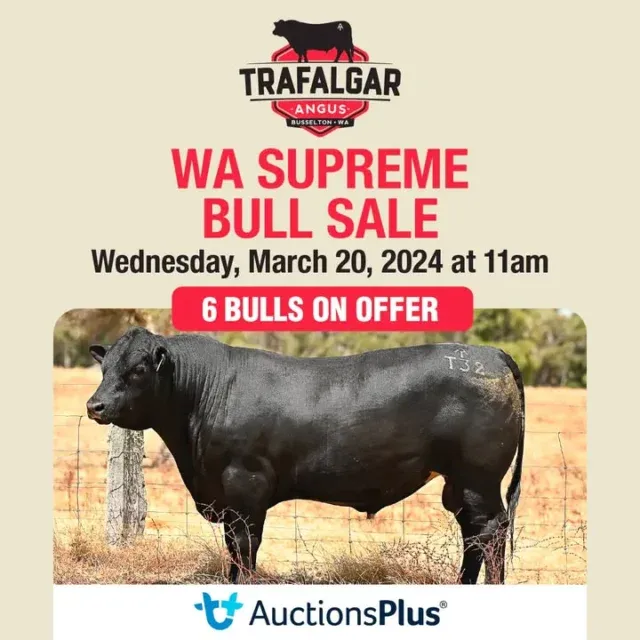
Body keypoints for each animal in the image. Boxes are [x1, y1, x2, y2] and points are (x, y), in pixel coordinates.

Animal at [86, 327, 525, 585]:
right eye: (105, 367)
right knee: (473, 534)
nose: (95, 406)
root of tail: (490, 352)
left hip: (478, 478)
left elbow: (244, 552)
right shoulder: (227, 501)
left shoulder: (245, 492)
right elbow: (232, 554)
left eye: (139, 369)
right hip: (461, 484)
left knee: (490, 532)